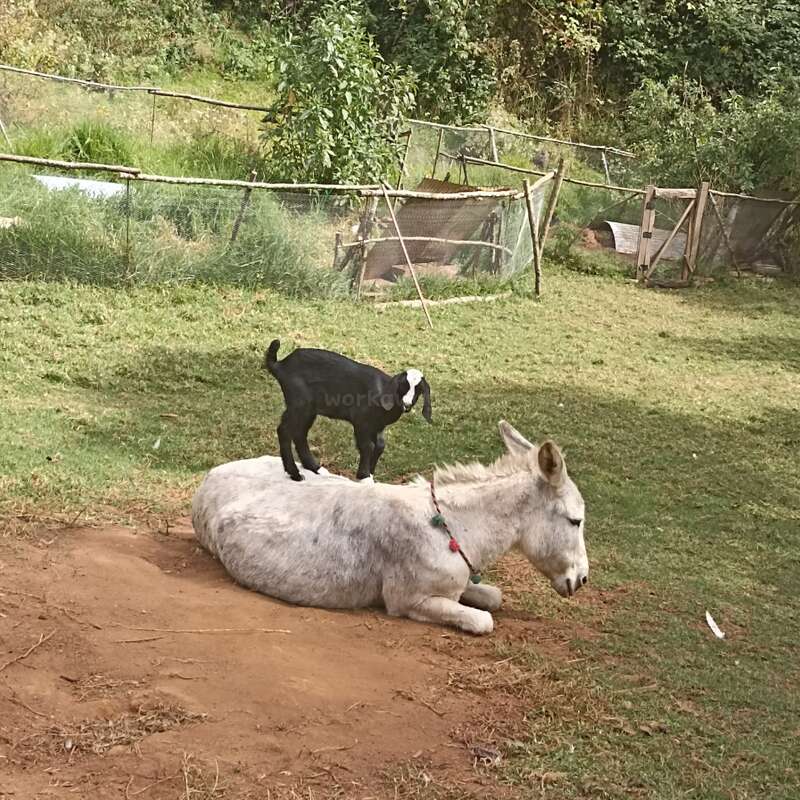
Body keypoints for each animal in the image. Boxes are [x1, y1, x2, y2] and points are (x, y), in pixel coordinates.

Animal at [264, 339, 432, 482]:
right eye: (403, 386)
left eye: (418, 390)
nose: (407, 404)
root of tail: (280, 366)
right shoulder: (361, 421)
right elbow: (368, 446)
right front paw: (364, 476)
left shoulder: (377, 426)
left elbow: (380, 446)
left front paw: (370, 474)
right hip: (299, 403)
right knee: (284, 431)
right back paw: (295, 474)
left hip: (309, 410)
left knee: (299, 433)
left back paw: (315, 468)